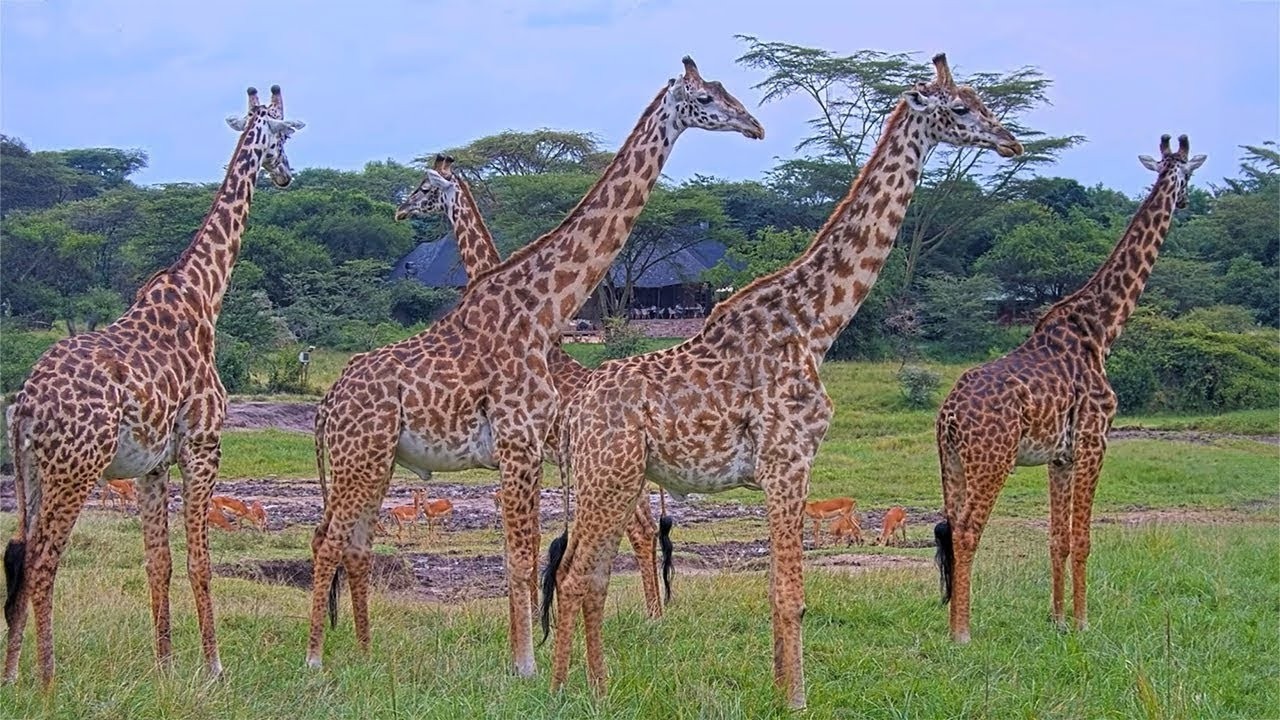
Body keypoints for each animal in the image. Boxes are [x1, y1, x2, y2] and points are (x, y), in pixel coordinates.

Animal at [3, 86, 305, 687]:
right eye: (283, 137)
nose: (287, 174)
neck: (204, 295)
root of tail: (25, 405)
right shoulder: (203, 445)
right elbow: (199, 559)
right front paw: (213, 666)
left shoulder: (151, 464)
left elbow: (157, 562)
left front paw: (164, 665)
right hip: (76, 468)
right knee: (45, 559)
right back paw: (48, 679)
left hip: (31, 472)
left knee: (20, 551)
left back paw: (13, 674)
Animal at [392, 155, 672, 619]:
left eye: (425, 189)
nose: (400, 210)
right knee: (647, 528)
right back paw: (656, 611)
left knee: (639, 529)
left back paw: (652, 615)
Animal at [541, 54, 1023, 709]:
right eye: (959, 109)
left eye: (980, 100)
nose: (1010, 141)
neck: (816, 323)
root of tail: (574, 409)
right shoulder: (789, 460)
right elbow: (791, 594)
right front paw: (796, 699)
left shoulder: (782, 469)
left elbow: (777, 589)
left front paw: (776, 688)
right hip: (606, 476)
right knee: (574, 573)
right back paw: (574, 691)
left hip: (617, 479)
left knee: (585, 574)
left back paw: (586, 689)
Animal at [933, 134, 1206, 644]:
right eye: (1188, 175)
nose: (1185, 201)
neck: (1101, 329)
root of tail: (949, 416)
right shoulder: (1094, 440)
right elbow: (1082, 538)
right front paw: (1083, 623)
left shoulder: (1059, 455)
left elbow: (1056, 537)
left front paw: (1057, 620)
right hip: (993, 458)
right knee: (966, 531)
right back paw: (963, 633)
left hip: (952, 462)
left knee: (949, 527)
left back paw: (951, 623)